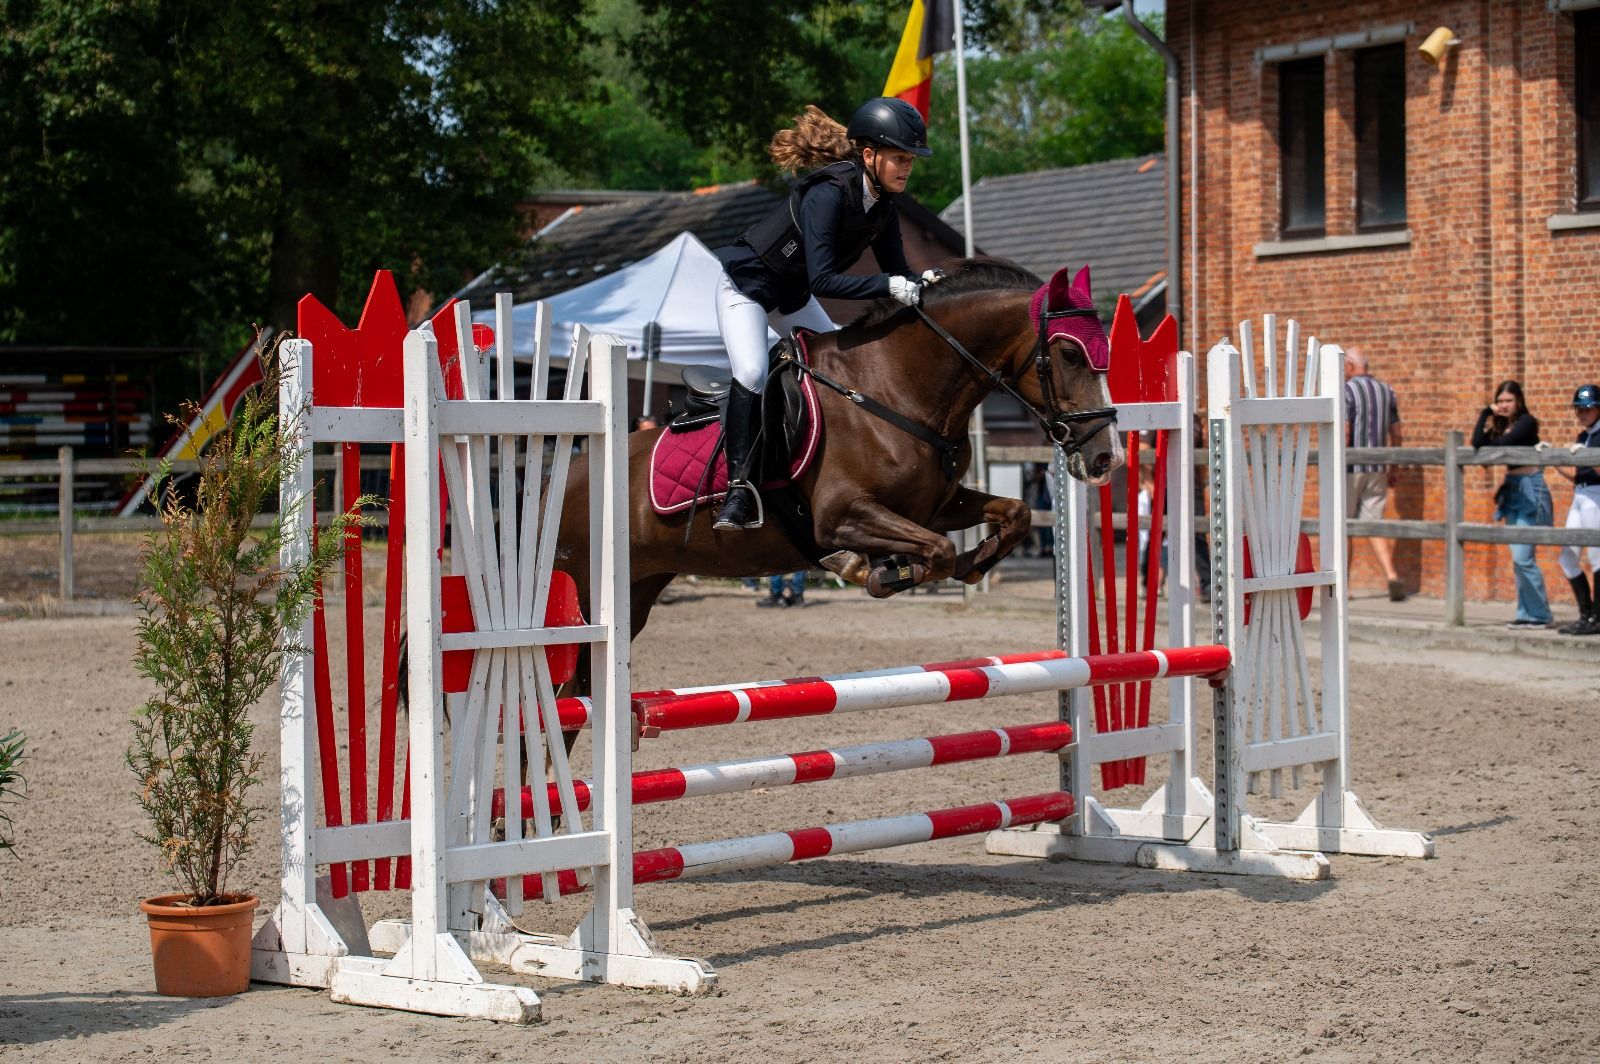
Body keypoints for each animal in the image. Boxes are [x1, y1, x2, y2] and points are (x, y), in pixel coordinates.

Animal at [554, 258, 1124, 642]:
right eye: (1070, 354)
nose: (1106, 458)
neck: (899, 389)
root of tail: (562, 479)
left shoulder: (933, 506)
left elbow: (1015, 515)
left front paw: (970, 567)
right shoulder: (840, 515)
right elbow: (935, 552)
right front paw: (869, 569)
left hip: (638, 590)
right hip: (585, 591)